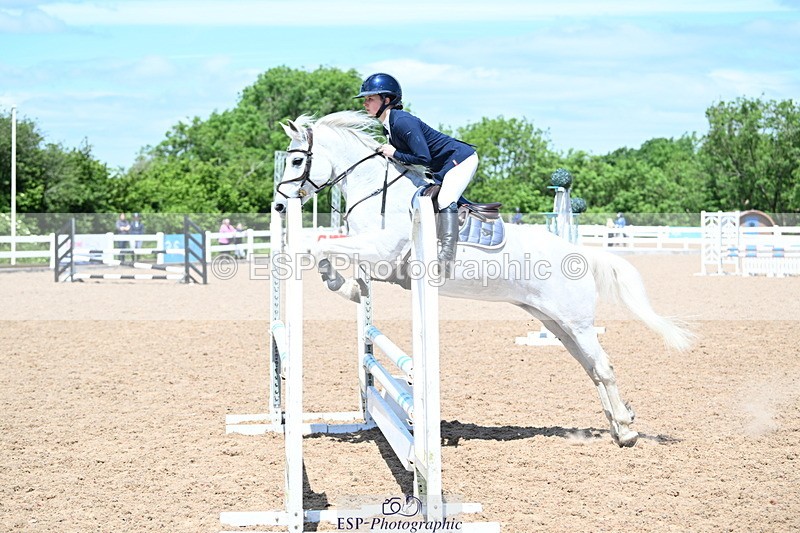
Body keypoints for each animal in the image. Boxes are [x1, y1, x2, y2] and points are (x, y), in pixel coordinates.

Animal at [275, 110, 693, 447]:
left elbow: (319, 248)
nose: (279, 204)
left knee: (603, 367)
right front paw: (345, 287)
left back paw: (627, 430)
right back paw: (618, 425)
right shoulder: (373, 256)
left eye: (296, 159)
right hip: (556, 324)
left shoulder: (383, 253)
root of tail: (582, 254)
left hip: (577, 322)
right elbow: (331, 252)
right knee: (592, 370)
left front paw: (337, 282)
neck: (376, 189)